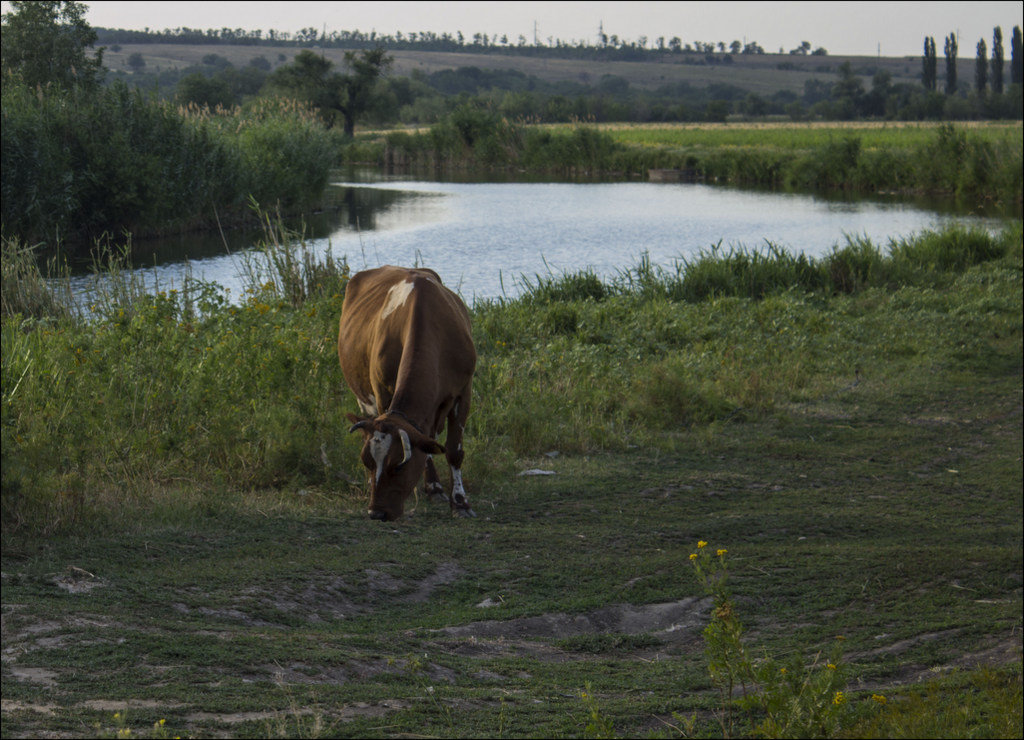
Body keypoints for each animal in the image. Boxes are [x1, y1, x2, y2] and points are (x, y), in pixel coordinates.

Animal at [337, 266, 477, 521]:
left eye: (398, 465)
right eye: (367, 462)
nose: (376, 513)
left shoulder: (463, 391)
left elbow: (454, 450)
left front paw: (461, 503)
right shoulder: (382, 395)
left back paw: (435, 488)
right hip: (364, 401)